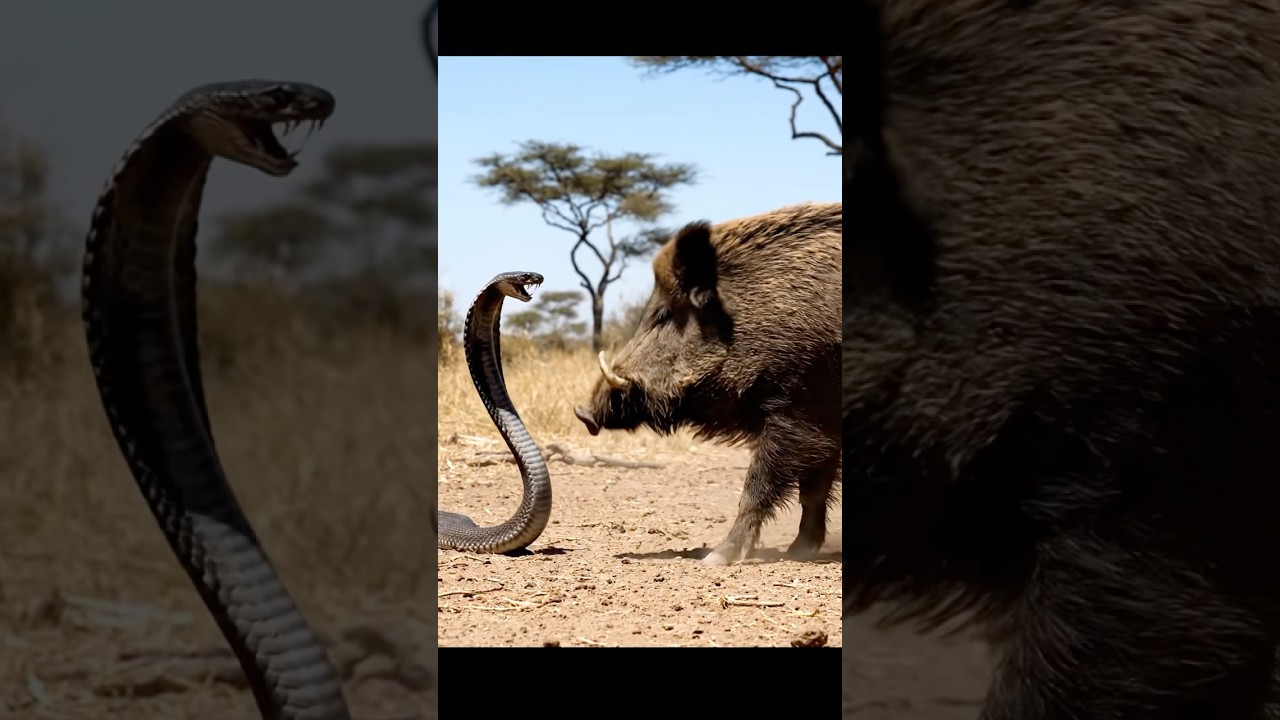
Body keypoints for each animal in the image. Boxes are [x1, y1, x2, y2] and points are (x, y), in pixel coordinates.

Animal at [574, 201, 842, 566]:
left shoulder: (802, 411)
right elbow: (812, 491)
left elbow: (760, 484)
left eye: (664, 314)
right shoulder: (821, 427)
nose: (583, 412)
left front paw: (717, 557)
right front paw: (799, 550)